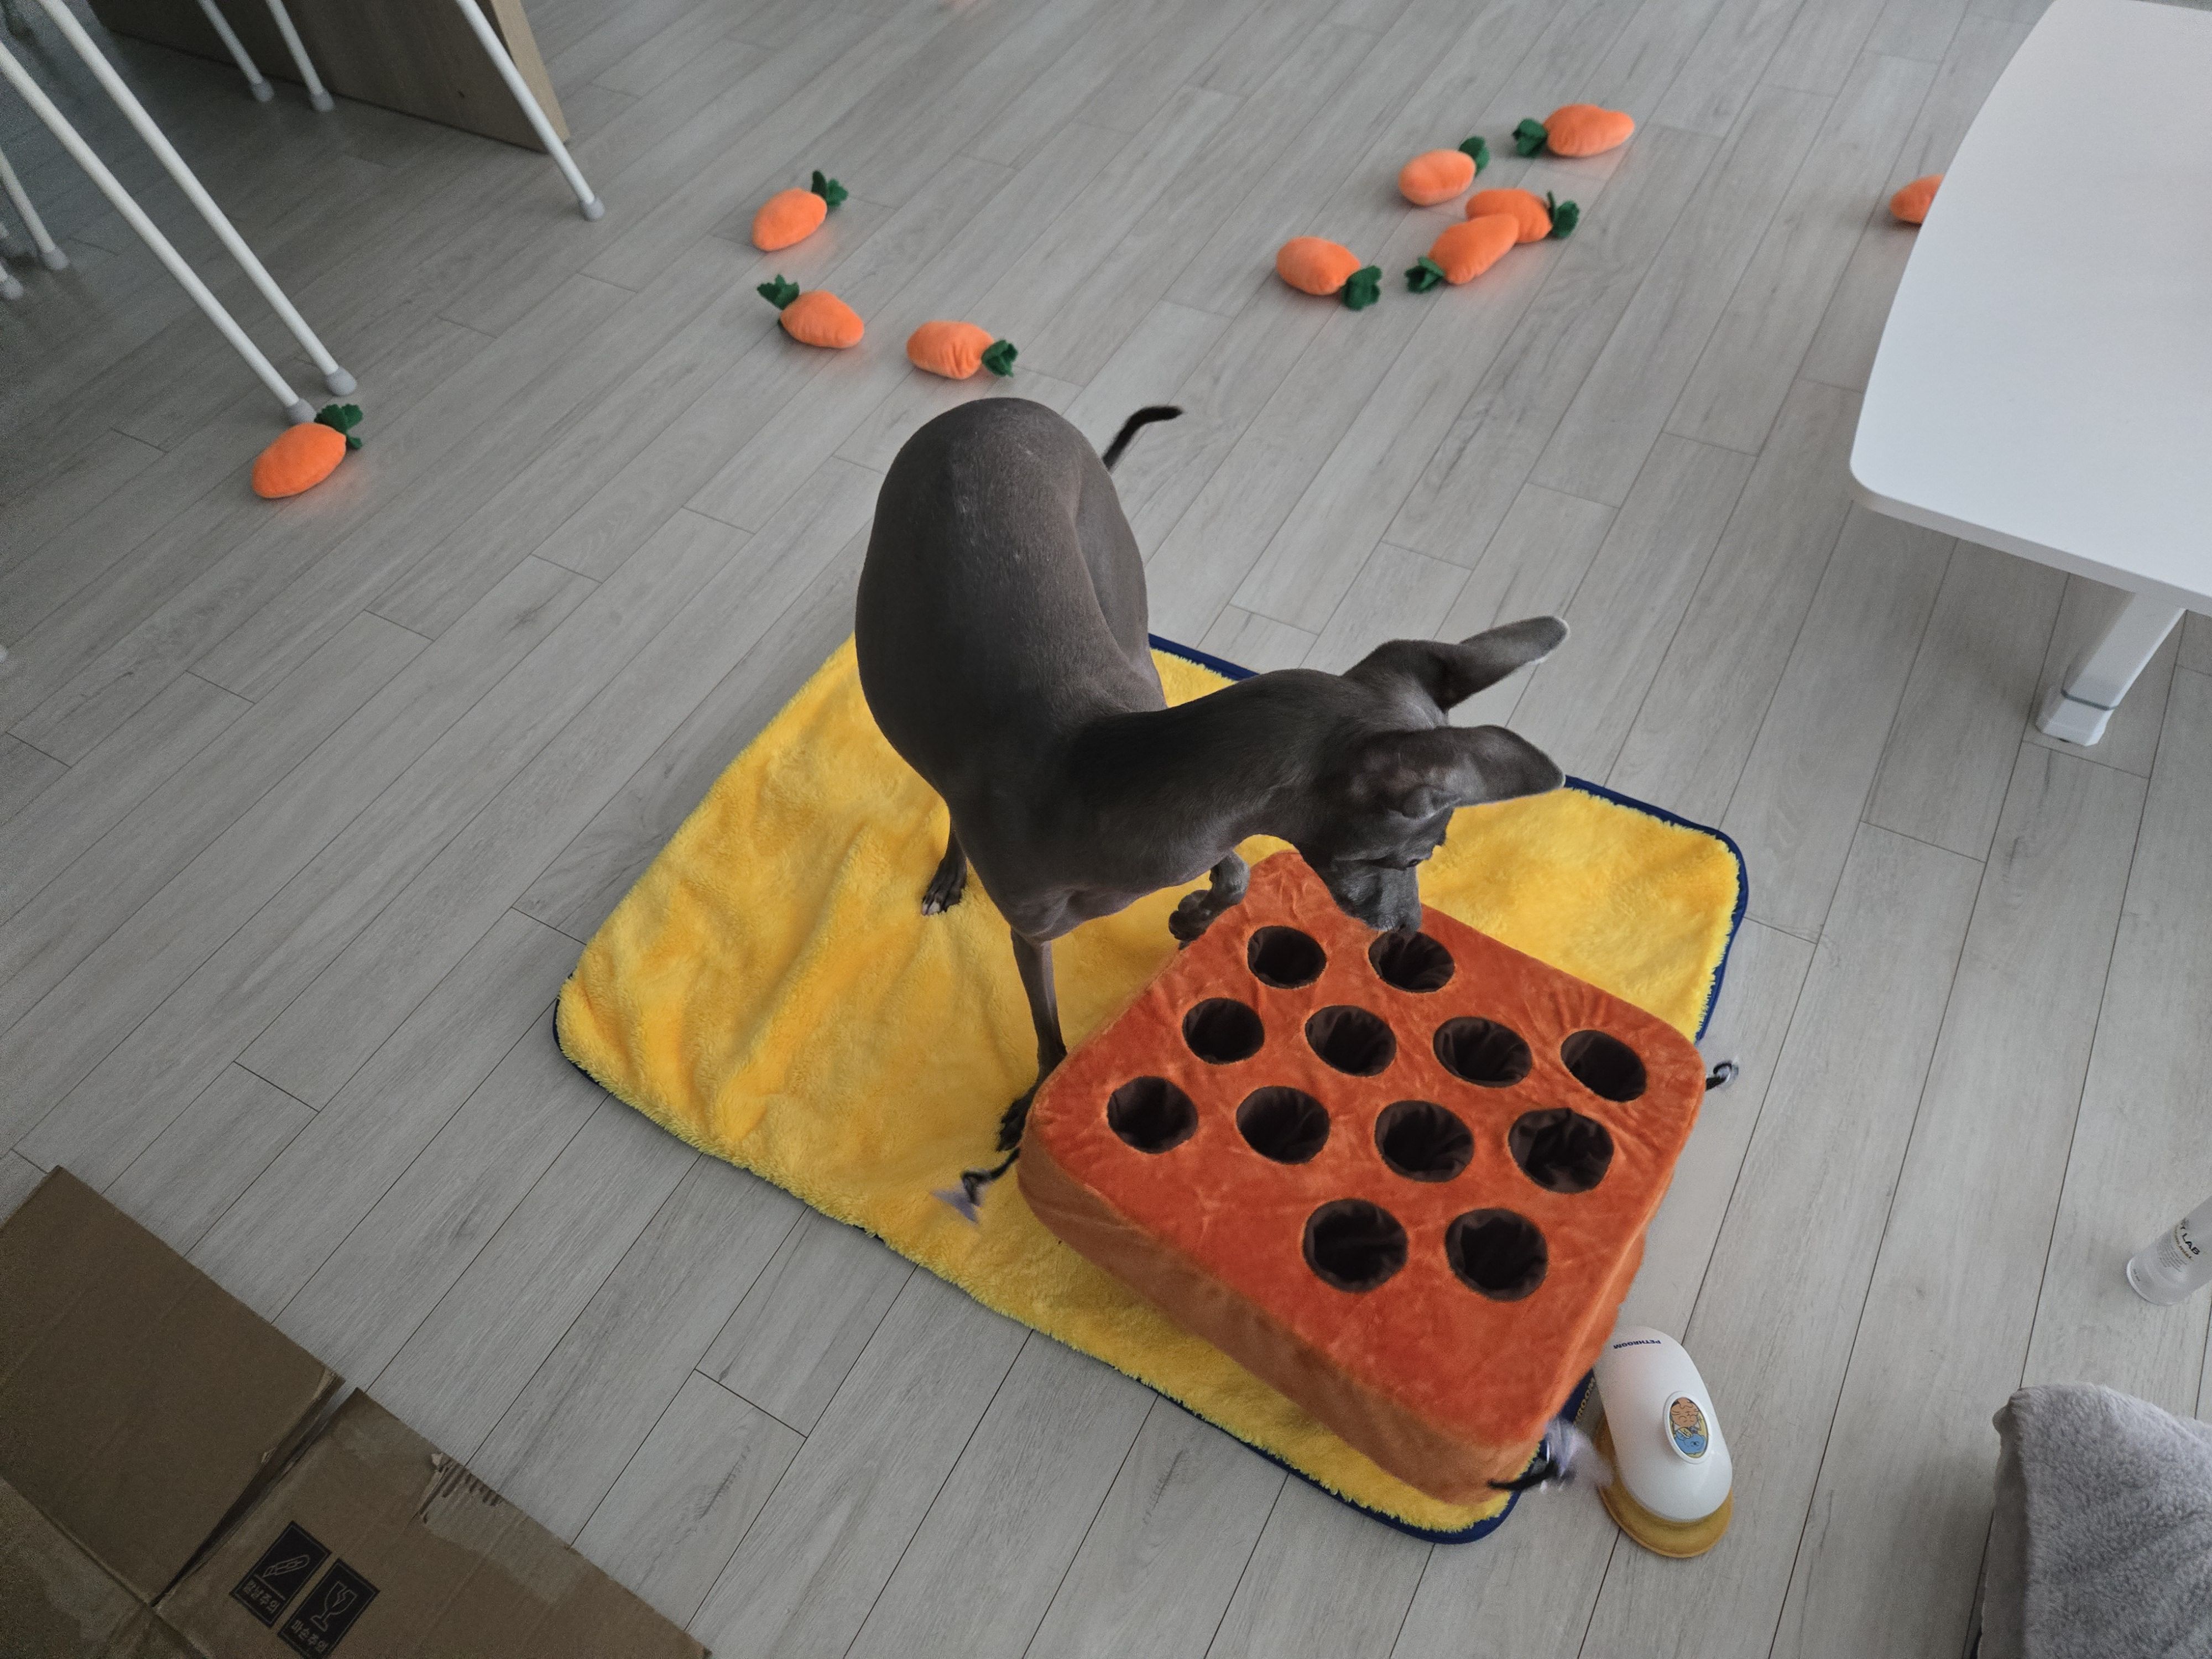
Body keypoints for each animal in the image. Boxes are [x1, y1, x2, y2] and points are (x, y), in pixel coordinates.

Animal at [855, 398, 1567, 1209]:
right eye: (1416, 853)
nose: (1408, 931)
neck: (1100, 771)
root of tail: (999, 406)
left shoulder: (1205, 822)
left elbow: (1239, 874)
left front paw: (1192, 918)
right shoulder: (1034, 930)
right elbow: (1049, 1034)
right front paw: (1033, 1101)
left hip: (1120, 605)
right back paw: (951, 872)